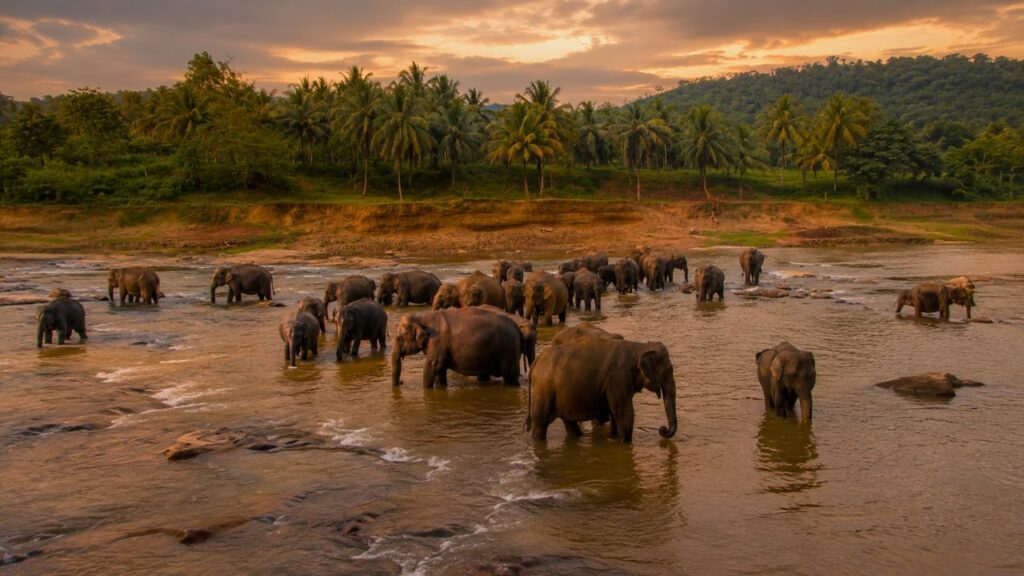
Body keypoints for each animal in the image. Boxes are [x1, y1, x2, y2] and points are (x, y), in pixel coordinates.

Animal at [390, 307, 522, 387]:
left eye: (399, 338)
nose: (401, 382)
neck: (422, 317)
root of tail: (517, 328)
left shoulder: (437, 341)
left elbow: (432, 365)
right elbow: (440, 369)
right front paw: (440, 387)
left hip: (508, 349)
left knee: (510, 377)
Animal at [526, 337, 678, 443]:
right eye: (668, 371)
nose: (662, 429)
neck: (640, 347)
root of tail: (536, 361)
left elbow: (615, 414)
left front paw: (614, 438)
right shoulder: (618, 378)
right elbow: (625, 414)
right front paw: (625, 443)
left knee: (569, 423)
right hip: (543, 390)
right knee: (540, 424)